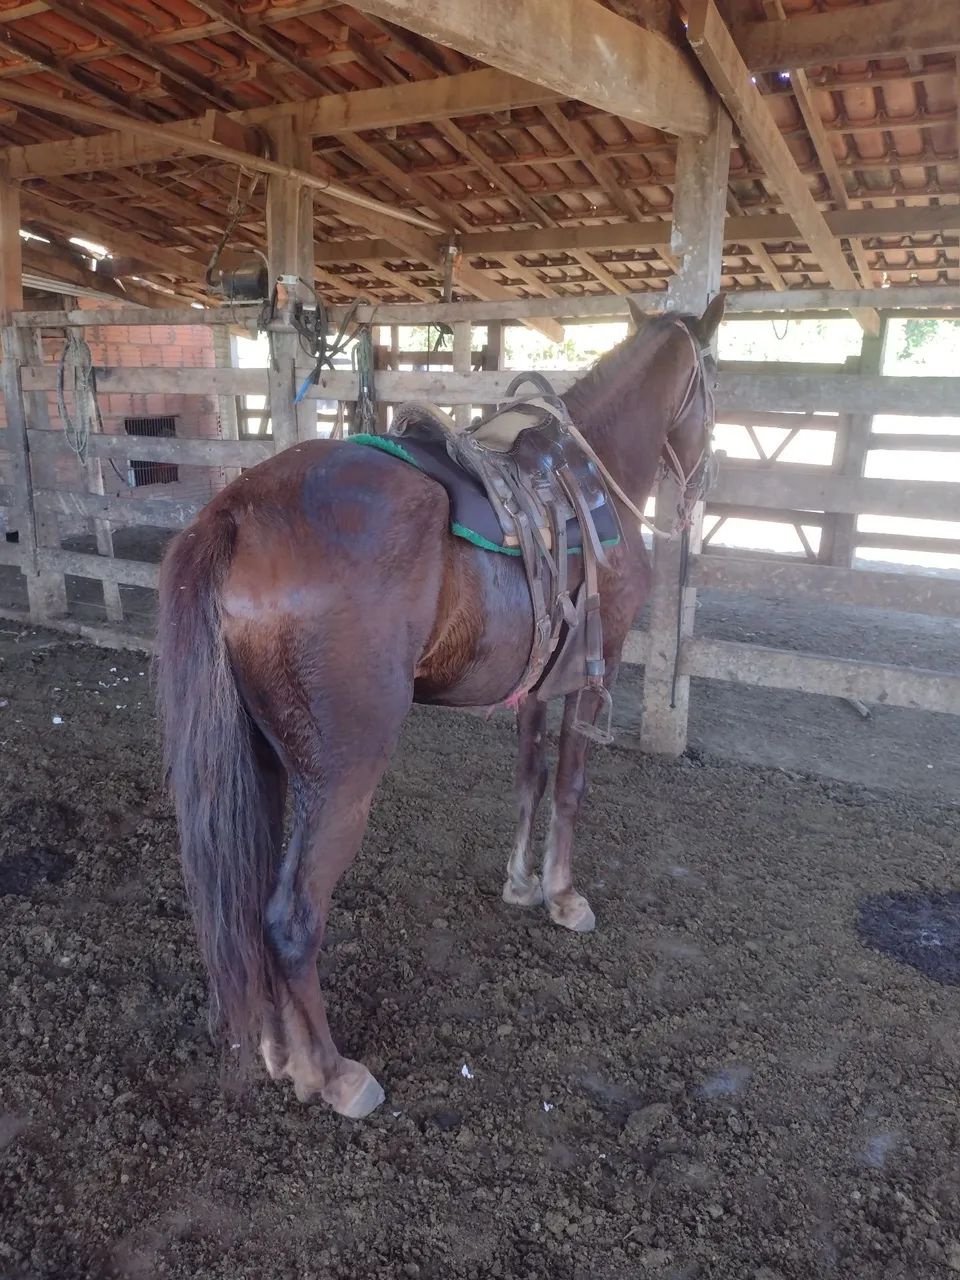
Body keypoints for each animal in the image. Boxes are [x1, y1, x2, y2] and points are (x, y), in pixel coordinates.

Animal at [155, 295, 725, 1119]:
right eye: (714, 383)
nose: (705, 477)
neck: (591, 477)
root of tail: (235, 511)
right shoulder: (597, 667)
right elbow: (572, 787)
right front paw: (563, 896)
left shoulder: (540, 680)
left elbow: (529, 776)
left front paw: (520, 884)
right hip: (343, 776)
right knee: (291, 919)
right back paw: (332, 1074)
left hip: (258, 760)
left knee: (250, 902)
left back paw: (279, 1053)